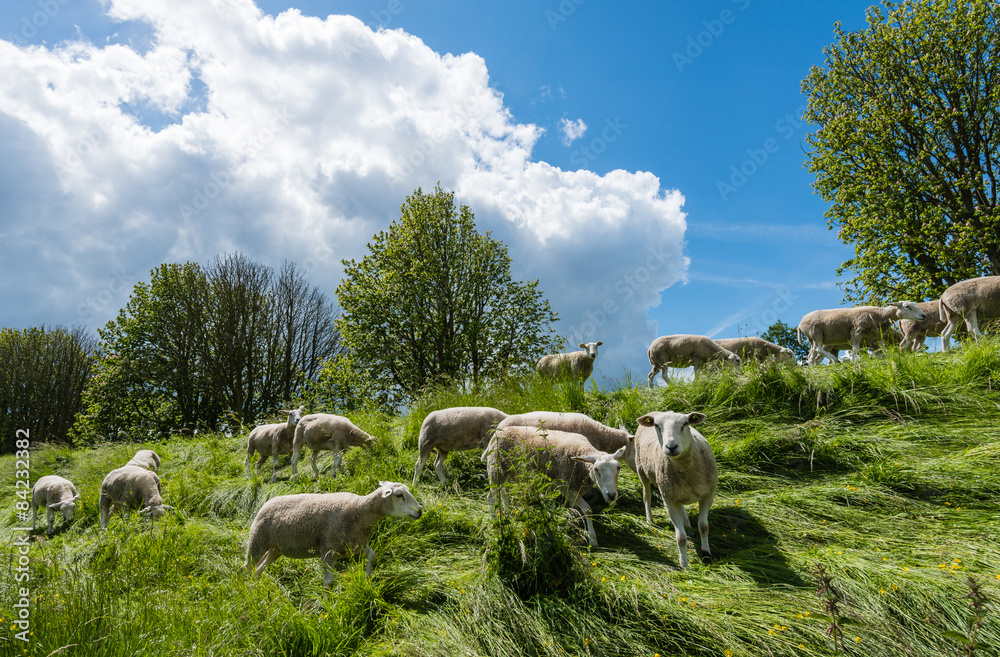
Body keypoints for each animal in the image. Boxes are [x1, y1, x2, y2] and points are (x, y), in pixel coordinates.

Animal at [243, 481, 422, 585]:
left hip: (276, 549)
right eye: (399, 495)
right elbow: (328, 582)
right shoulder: (329, 549)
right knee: (246, 568)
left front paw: (366, 579)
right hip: (258, 541)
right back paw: (245, 591)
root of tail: (266, 502)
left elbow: (372, 556)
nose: (419, 511)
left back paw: (255, 587)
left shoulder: (356, 544)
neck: (360, 511)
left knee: (257, 570)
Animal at [483, 425, 629, 547]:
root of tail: (497, 433)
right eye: (596, 469)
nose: (611, 495)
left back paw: (508, 513)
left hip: (509, 471)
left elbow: (569, 507)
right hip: (496, 469)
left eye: (618, 468)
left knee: (505, 491)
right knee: (491, 496)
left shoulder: (575, 488)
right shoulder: (565, 485)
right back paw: (495, 521)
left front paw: (566, 520)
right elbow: (587, 509)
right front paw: (592, 539)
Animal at [634, 411, 718, 569]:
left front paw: (707, 556)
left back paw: (686, 523)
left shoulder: (708, 495)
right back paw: (650, 520)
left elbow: (704, 527)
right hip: (642, 470)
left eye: (685, 424)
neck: (686, 472)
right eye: (657, 426)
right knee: (646, 495)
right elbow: (681, 537)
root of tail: (655, 411)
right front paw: (684, 564)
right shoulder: (669, 502)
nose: (671, 447)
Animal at [797, 301, 927, 365]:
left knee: (812, 354)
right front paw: (855, 363)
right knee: (817, 349)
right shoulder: (856, 332)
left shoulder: (876, 336)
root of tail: (800, 323)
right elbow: (855, 349)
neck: (880, 315)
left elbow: (883, 351)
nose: (924, 316)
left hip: (812, 337)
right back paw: (835, 360)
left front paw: (889, 361)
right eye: (907, 306)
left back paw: (812, 369)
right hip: (816, 333)